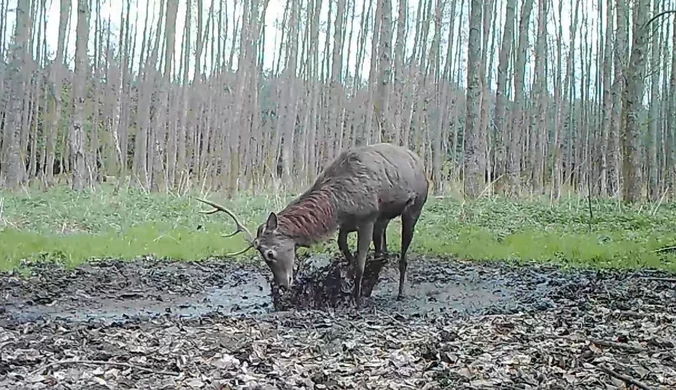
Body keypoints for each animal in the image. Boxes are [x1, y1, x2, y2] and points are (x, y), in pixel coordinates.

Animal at [195, 142, 428, 306]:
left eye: (269, 254)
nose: (282, 284)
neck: (337, 204)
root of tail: (420, 162)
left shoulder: (368, 217)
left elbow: (362, 263)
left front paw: (356, 298)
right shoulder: (348, 223)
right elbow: (344, 247)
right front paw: (349, 277)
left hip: (414, 208)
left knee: (403, 255)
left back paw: (400, 293)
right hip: (385, 219)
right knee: (384, 251)